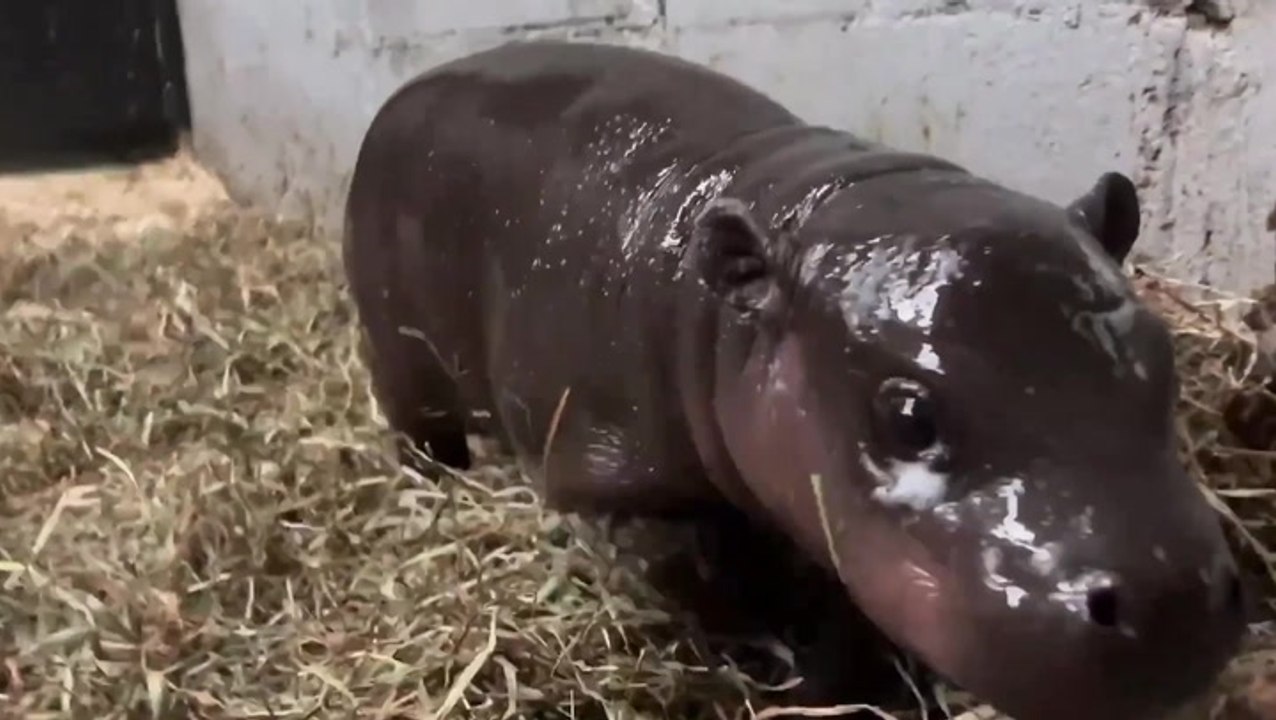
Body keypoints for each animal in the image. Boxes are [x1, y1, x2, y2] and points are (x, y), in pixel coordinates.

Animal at [341, 39, 1245, 720]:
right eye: (908, 416)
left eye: (1163, 357)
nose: (1173, 601)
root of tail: (410, 87)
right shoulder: (613, 474)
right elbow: (699, 575)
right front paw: (771, 666)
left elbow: (842, 603)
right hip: (398, 354)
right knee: (418, 424)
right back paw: (439, 478)